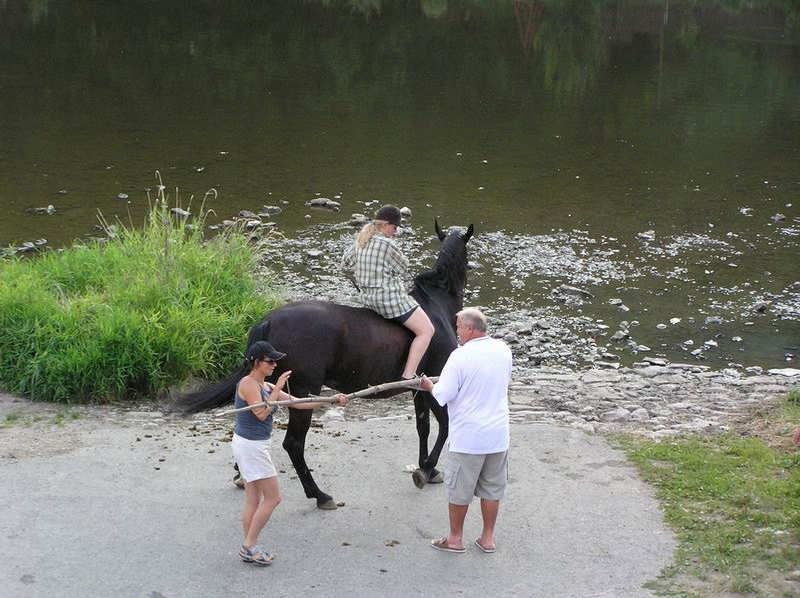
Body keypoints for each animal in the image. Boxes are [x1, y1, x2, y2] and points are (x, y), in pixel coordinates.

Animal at [178, 220, 472, 510]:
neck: (435, 307)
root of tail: (269, 320)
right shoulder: (433, 384)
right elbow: (445, 425)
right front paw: (427, 468)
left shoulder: (419, 389)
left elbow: (423, 427)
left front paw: (428, 469)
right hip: (303, 393)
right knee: (294, 444)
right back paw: (319, 495)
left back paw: (243, 474)